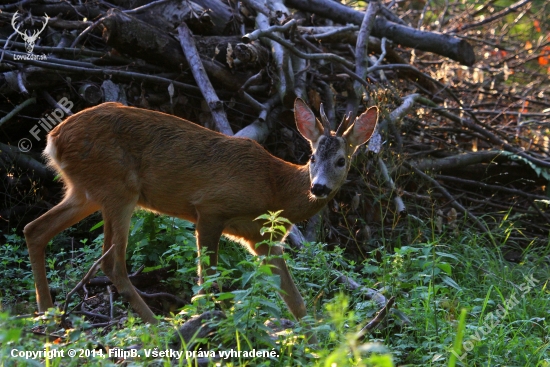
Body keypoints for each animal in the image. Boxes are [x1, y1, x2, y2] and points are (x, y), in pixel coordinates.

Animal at [24, 98, 380, 324]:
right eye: (312, 158)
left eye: (341, 160)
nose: (318, 187)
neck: (273, 188)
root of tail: (53, 138)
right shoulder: (211, 208)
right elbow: (208, 280)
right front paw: (207, 319)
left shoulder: (262, 241)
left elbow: (296, 300)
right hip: (117, 189)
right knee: (112, 262)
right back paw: (158, 325)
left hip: (85, 192)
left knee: (35, 229)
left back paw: (47, 314)